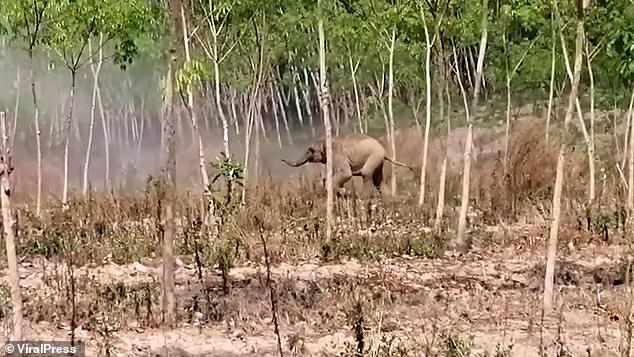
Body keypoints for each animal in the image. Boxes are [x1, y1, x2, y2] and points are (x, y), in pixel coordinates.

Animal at [280, 133, 410, 196]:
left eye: (310, 150)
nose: (281, 160)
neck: (325, 141)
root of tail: (384, 151)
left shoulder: (337, 154)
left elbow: (346, 174)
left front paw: (340, 192)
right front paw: (341, 192)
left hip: (374, 156)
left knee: (366, 173)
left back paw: (364, 196)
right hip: (378, 160)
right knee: (378, 178)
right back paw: (387, 196)